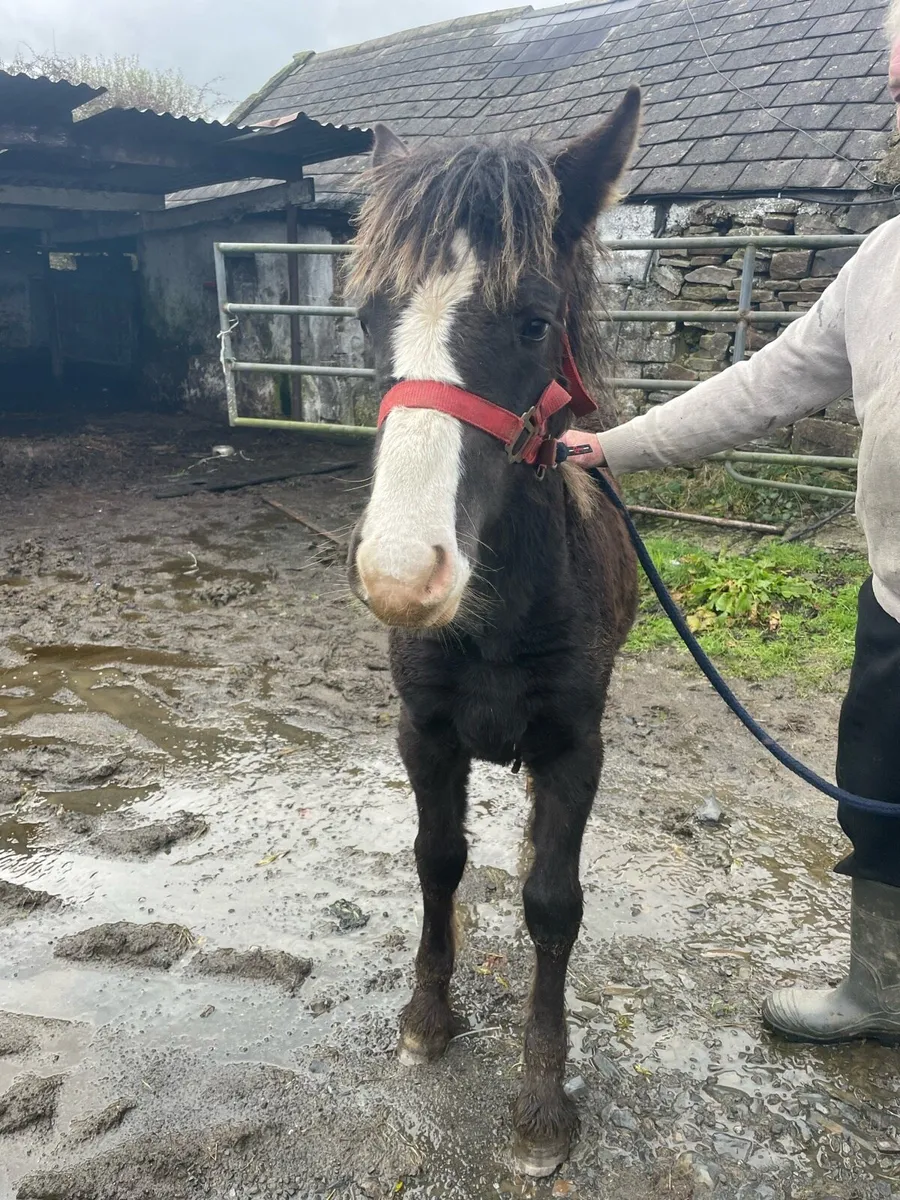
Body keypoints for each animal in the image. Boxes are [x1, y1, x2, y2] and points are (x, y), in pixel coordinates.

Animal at [346, 87, 642, 1177]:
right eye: (367, 316)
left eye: (535, 321)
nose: (399, 573)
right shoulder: (424, 734)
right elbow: (437, 861)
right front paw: (426, 1019)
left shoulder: (575, 748)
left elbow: (554, 903)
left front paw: (541, 1104)